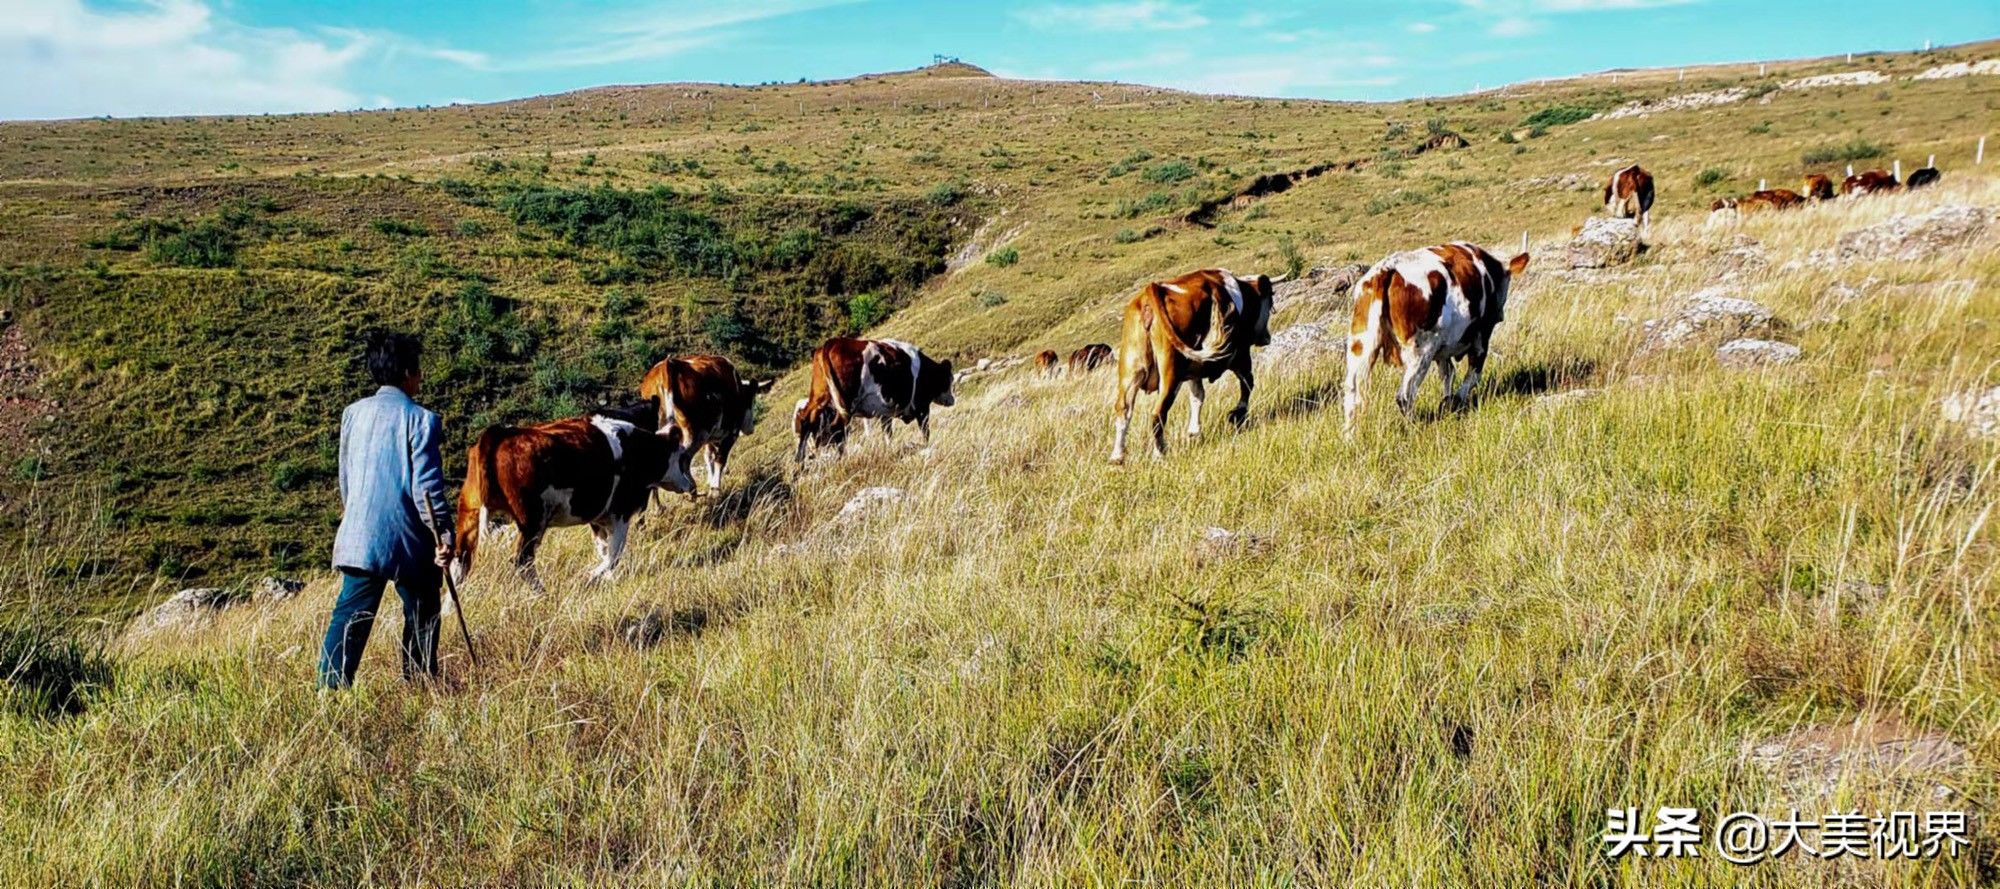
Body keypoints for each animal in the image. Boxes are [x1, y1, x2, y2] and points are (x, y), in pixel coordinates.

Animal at [454, 396, 696, 588]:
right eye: (683, 458)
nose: (692, 486)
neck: (637, 448)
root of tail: (497, 433)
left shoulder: (599, 516)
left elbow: (604, 550)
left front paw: (607, 579)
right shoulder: (621, 512)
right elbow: (614, 555)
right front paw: (590, 577)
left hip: (469, 516)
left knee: (461, 564)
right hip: (531, 520)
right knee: (521, 561)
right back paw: (542, 592)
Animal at [640, 352, 772, 492]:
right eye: (751, 399)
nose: (750, 429)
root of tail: (667, 365)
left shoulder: (709, 437)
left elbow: (709, 457)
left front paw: (710, 481)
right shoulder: (730, 433)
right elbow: (720, 459)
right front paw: (715, 488)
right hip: (693, 434)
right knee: (683, 459)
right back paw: (692, 488)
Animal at [792, 336, 956, 468]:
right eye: (949, 378)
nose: (952, 400)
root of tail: (831, 343)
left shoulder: (886, 412)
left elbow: (888, 434)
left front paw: (890, 450)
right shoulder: (922, 407)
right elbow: (925, 431)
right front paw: (927, 447)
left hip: (820, 396)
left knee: (807, 420)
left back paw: (800, 463)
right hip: (846, 403)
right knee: (837, 429)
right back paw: (841, 460)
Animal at [1104, 268, 1272, 464]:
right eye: (1270, 302)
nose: (1267, 338)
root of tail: (1151, 290)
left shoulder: (1193, 371)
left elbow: (1198, 396)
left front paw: (1194, 431)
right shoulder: (1241, 355)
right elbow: (1247, 383)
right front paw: (1237, 415)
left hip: (1131, 368)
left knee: (1124, 409)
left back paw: (1117, 456)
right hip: (1170, 369)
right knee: (1158, 412)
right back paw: (1159, 453)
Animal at [1344, 239, 1528, 426]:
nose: (1501, 315)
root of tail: (1387, 268)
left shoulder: (1443, 348)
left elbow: (1448, 374)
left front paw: (1447, 402)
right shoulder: (1482, 336)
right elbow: (1473, 376)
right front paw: (1454, 401)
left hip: (1360, 346)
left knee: (1352, 391)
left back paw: (1350, 432)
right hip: (1421, 352)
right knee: (1404, 395)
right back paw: (1413, 426)